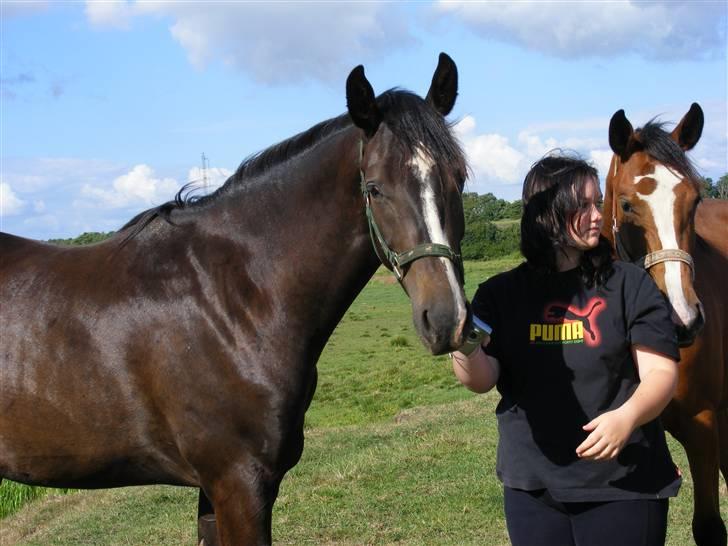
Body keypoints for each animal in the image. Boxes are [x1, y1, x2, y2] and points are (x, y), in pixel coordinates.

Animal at [0, 54, 466, 544]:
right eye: (374, 188)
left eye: (459, 178)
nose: (446, 319)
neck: (233, 300)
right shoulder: (237, 482)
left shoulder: (216, 491)